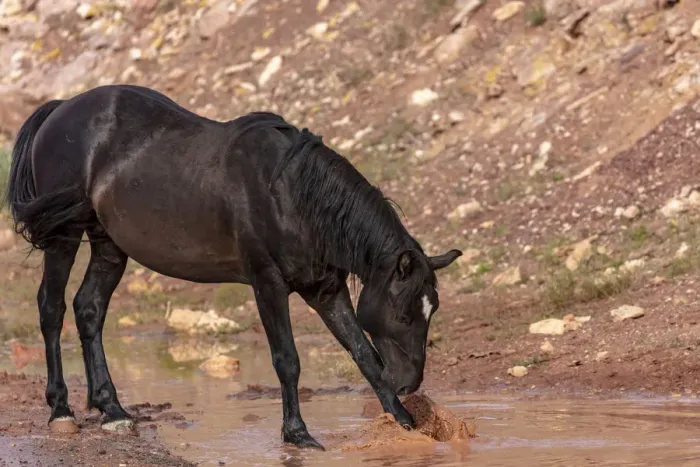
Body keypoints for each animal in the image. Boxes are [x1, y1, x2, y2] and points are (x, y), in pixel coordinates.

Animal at [4, 84, 462, 450]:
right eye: (403, 314)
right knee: (52, 308)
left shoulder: (324, 291)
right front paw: (297, 434)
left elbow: (363, 353)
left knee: (89, 309)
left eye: (432, 310)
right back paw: (62, 410)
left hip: (109, 245)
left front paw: (404, 421)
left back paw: (113, 409)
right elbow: (287, 360)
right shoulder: (267, 284)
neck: (291, 196)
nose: (409, 382)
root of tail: (62, 109)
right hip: (63, 237)